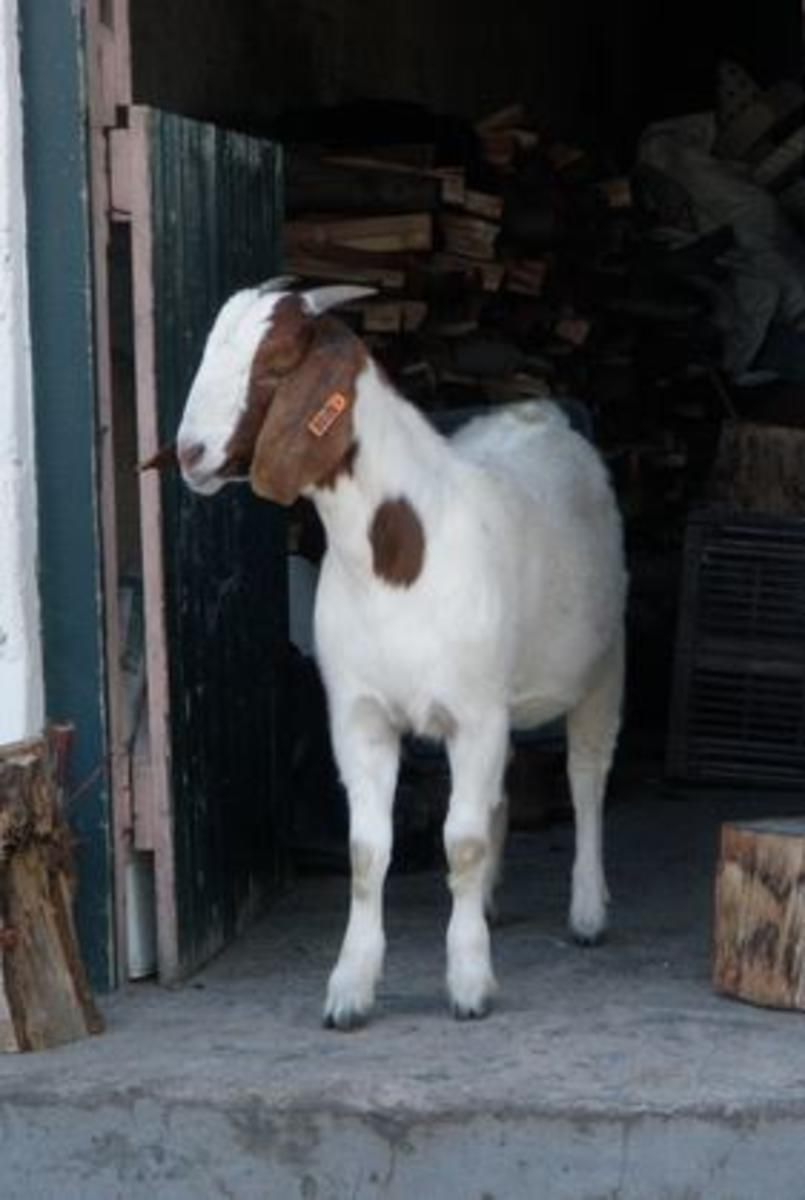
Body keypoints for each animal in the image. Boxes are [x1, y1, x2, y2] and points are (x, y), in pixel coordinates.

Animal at [176, 278, 628, 1032]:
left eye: (274, 365)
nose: (189, 452)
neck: (397, 558)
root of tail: (537, 414)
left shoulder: (474, 713)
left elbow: (461, 842)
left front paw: (469, 983)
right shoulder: (362, 717)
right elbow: (368, 852)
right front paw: (350, 988)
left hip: (603, 666)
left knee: (587, 779)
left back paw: (589, 910)